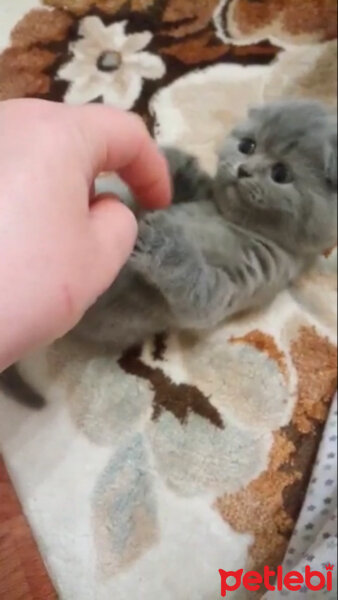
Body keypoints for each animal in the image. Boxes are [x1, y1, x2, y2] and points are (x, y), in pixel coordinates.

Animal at [74, 99, 338, 346]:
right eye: (247, 146)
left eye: (281, 174)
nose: (243, 170)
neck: (232, 221)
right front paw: (174, 161)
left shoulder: (243, 284)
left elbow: (198, 290)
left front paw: (161, 240)